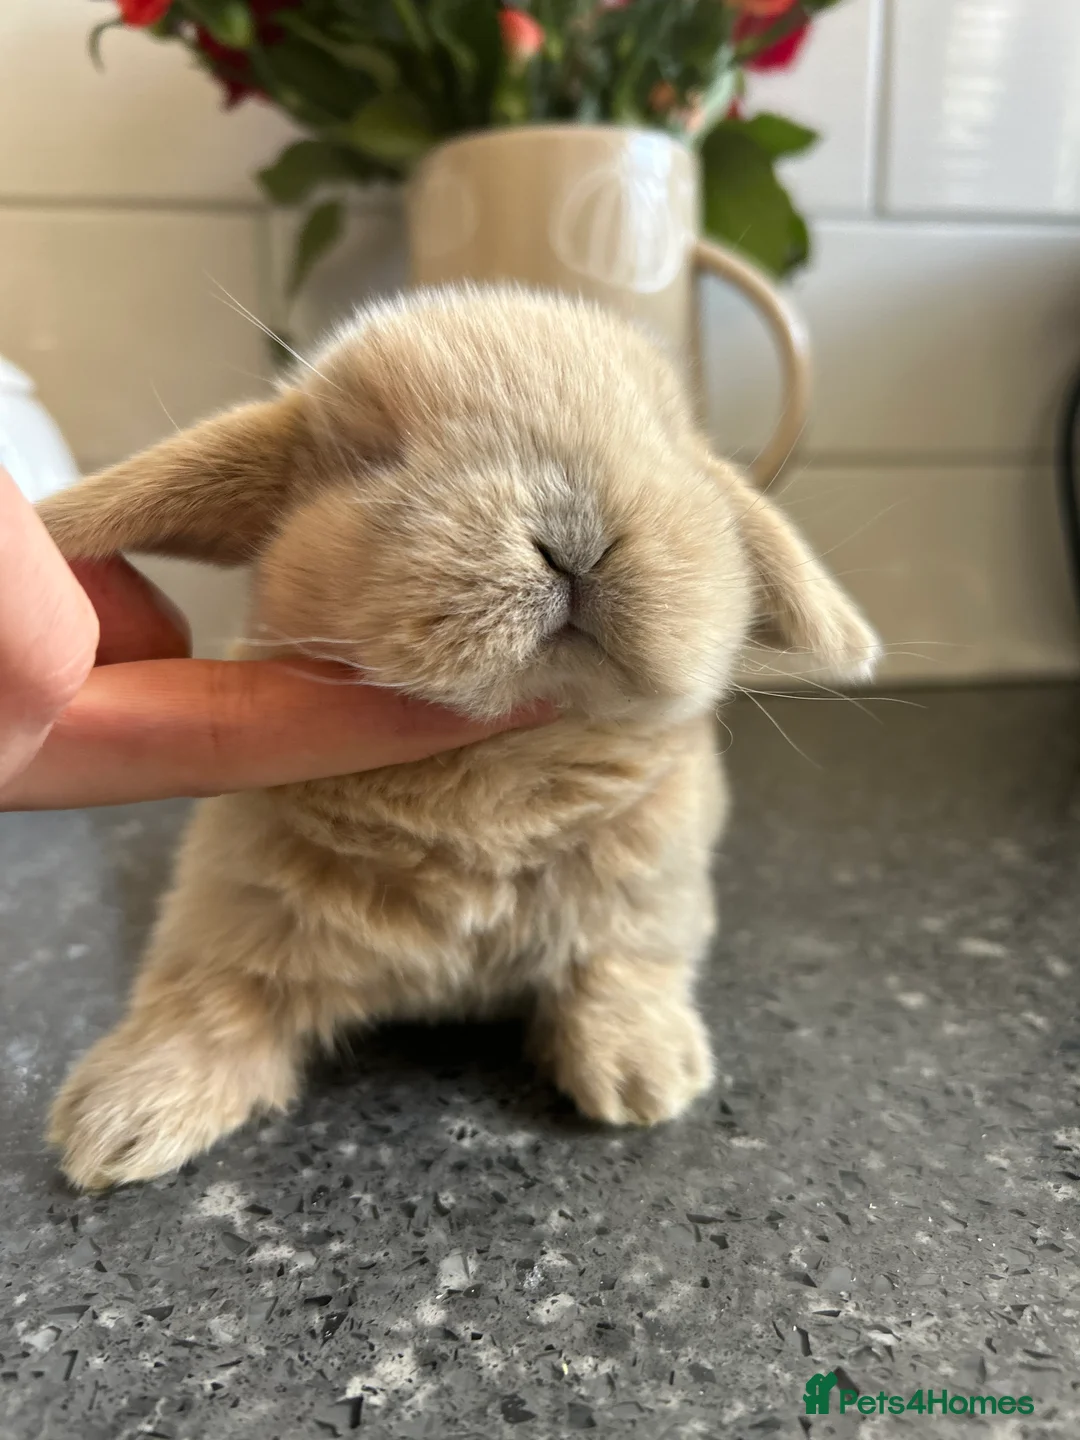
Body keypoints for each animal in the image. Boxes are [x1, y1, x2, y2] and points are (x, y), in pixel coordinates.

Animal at [38, 286, 879, 1190]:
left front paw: (646, 1077)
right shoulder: (236, 911)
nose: (575, 536)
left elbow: (618, 968)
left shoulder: (647, 897)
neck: (491, 783)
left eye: (667, 449)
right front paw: (117, 1124)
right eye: (376, 456)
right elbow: (208, 1002)